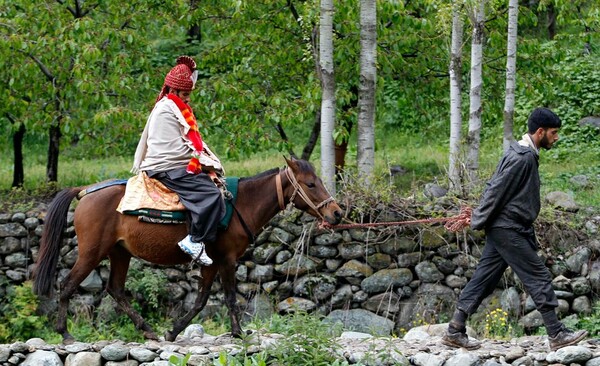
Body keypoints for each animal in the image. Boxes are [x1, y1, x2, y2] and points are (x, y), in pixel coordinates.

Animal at [32, 157, 342, 344]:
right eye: (311, 183)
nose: (337, 213)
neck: (240, 204)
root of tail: (84, 190)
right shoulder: (227, 259)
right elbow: (230, 297)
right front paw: (239, 333)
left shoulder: (211, 262)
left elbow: (201, 300)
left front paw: (173, 332)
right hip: (91, 252)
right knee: (67, 284)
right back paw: (65, 334)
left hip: (120, 252)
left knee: (116, 289)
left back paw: (148, 330)